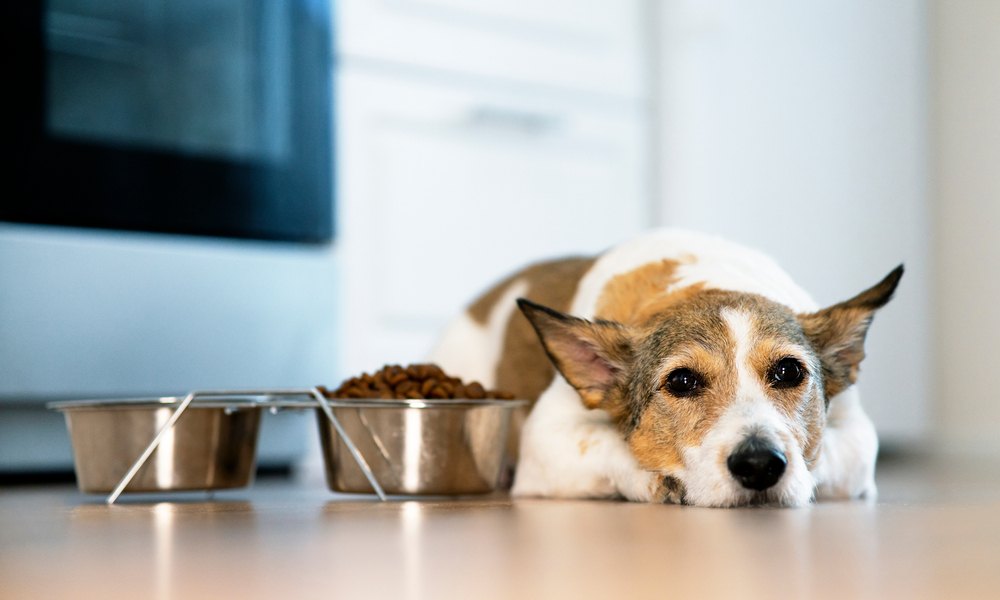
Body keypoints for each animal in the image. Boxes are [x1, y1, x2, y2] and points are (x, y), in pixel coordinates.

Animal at [434, 230, 904, 506]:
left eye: (789, 372)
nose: (758, 464)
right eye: (681, 381)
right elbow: (612, 447)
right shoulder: (544, 441)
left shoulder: (859, 435)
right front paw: (656, 482)